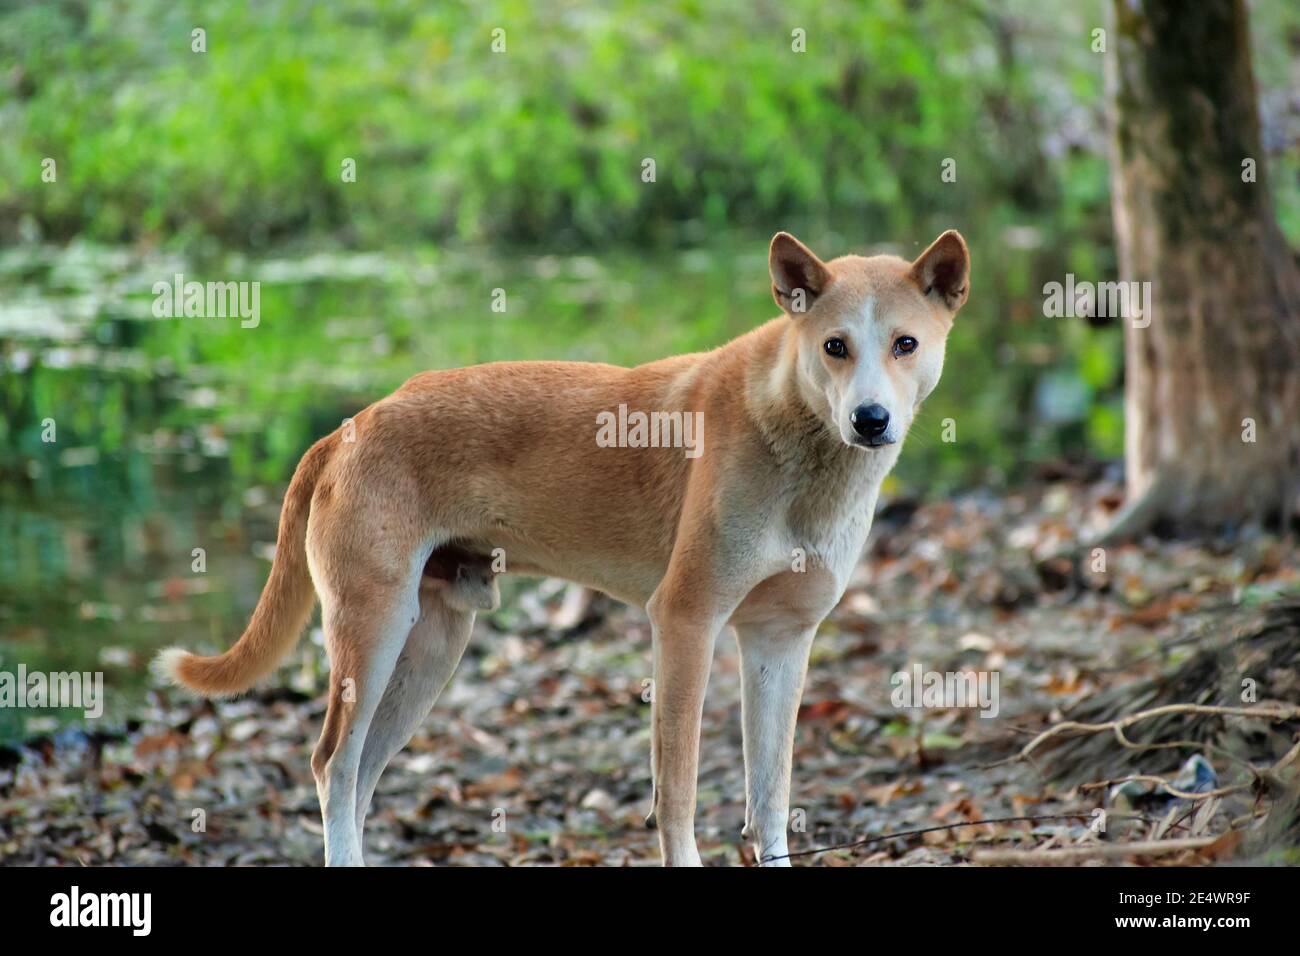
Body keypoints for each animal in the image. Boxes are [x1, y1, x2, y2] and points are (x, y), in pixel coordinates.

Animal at [154, 231, 967, 868]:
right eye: (835, 347)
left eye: (905, 344)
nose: (870, 419)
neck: (795, 438)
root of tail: (348, 427)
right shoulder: (686, 623)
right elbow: (679, 791)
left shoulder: (780, 640)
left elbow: (771, 796)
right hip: (374, 631)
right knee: (333, 766)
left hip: (431, 645)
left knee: (359, 779)